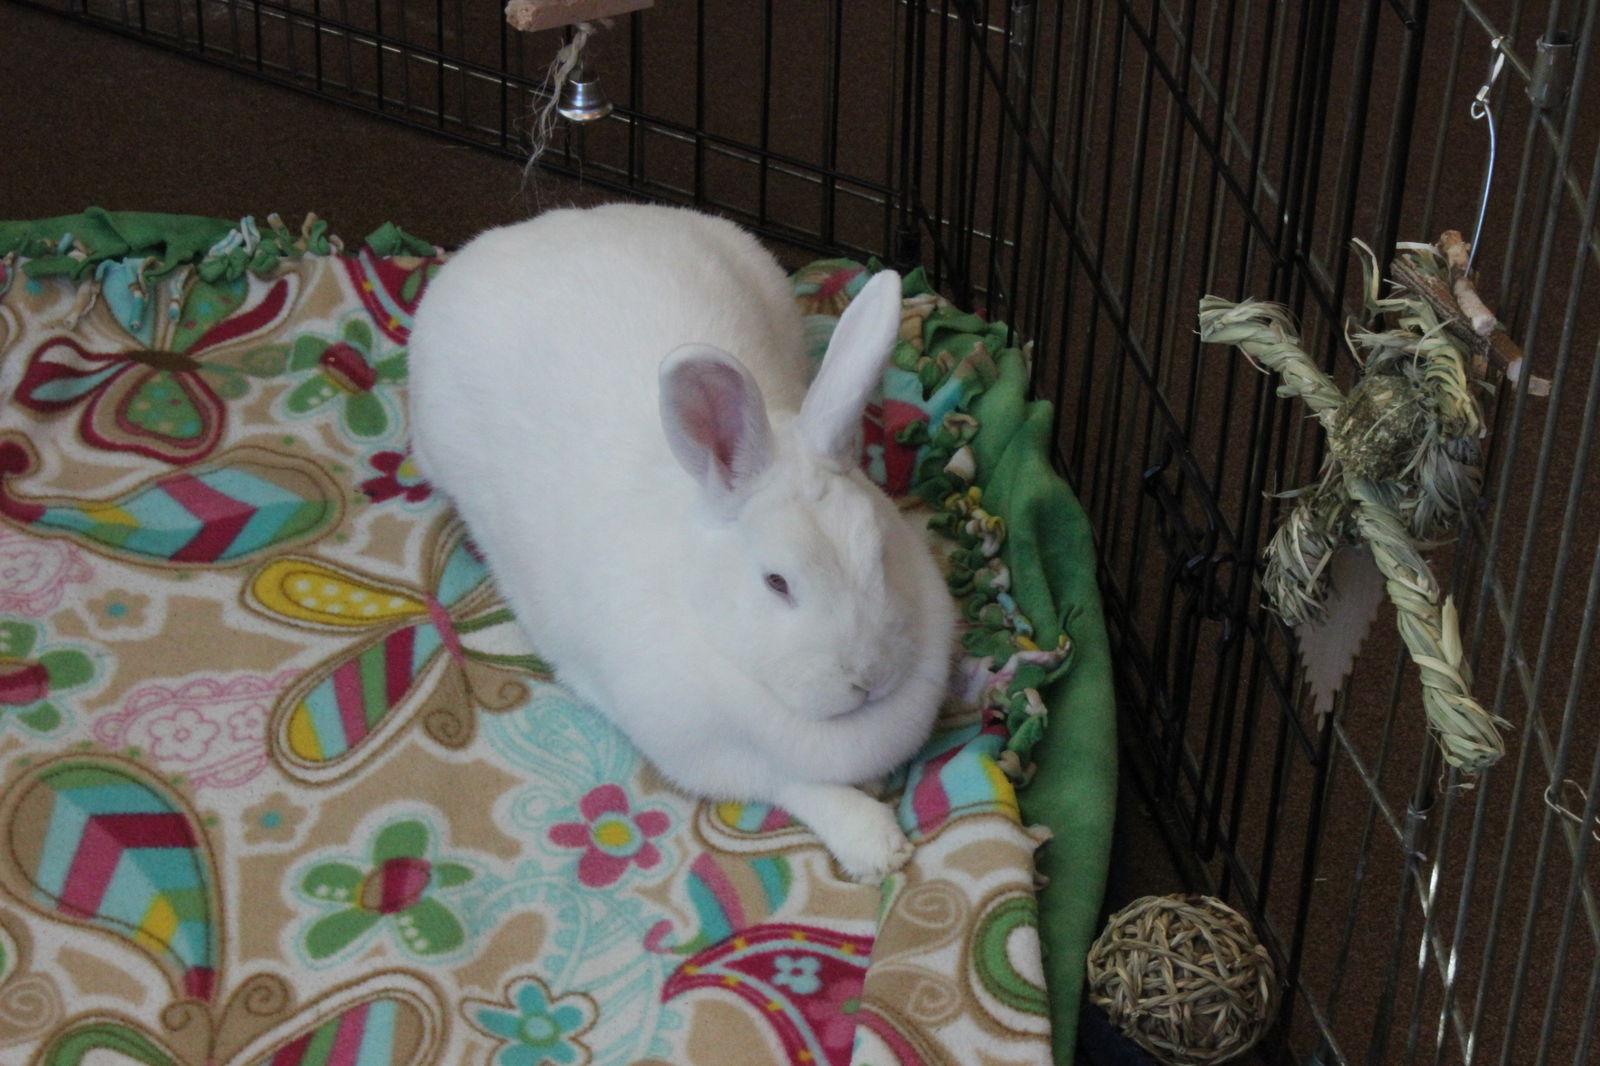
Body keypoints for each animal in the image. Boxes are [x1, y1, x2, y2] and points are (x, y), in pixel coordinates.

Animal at [407, 203, 956, 881]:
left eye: (879, 551)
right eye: (776, 582)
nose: (869, 675)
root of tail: (537, 226)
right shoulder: (714, 756)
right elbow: (797, 786)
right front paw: (877, 845)